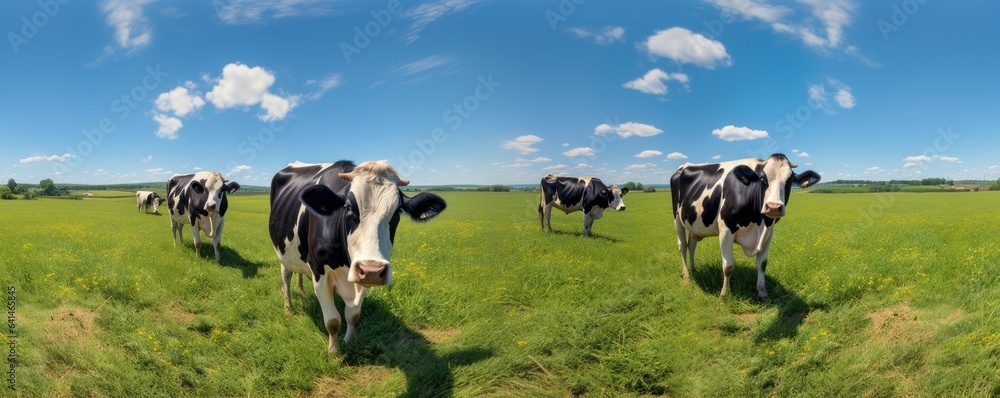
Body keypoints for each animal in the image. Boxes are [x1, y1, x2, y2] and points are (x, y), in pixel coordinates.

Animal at [272, 160, 448, 352]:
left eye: (397, 212)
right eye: (348, 208)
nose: (372, 270)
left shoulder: (361, 280)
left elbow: (353, 316)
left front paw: (349, 341)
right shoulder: (319, 273)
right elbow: (333, 320)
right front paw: (334, 351)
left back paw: (302, 293)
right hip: (282, 253)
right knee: (286, 276)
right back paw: (289, 307)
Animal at [672, 152, 820, 298]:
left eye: (790, 180)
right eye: (762, 179)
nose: (773, 207)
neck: (759, 223)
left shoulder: (769, 233)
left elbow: (762, 264)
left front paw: (762, 292)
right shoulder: (726, 230)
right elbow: (728, 266)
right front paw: (724, 295)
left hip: (693, 224)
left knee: (692, 245)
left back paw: (694, 270)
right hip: (677, 217)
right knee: (682, 245)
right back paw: (686, 276)